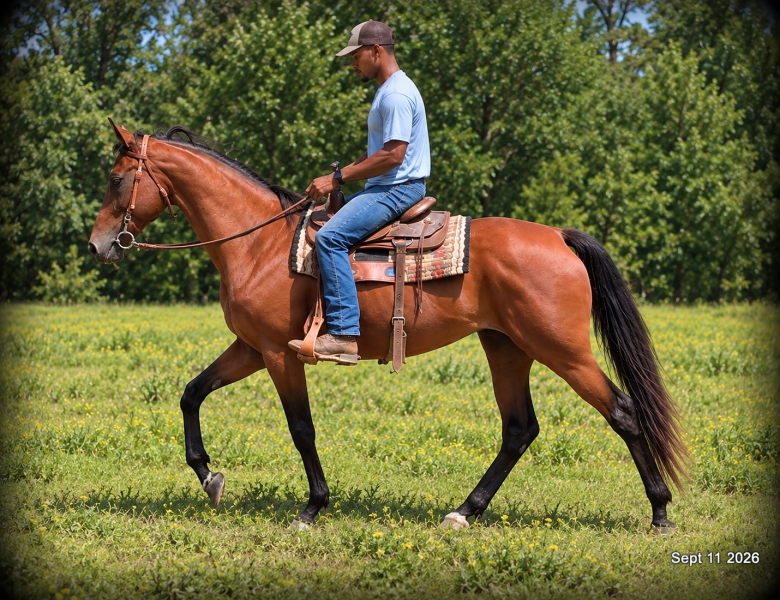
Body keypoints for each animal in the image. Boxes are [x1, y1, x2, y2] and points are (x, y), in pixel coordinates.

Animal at [88, 122, 689, 533]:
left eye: (117, 179)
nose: (97, 246)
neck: (258, 243)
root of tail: (559, 237)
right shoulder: (252, 348)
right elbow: (192, 394)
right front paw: (208, 476)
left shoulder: (280, 354)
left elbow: (301, 428)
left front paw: (313, 506)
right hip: (506, 347)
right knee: (519, 429)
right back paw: (464, 511)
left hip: (561, 350)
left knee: (623, 412)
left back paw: (660, 511)